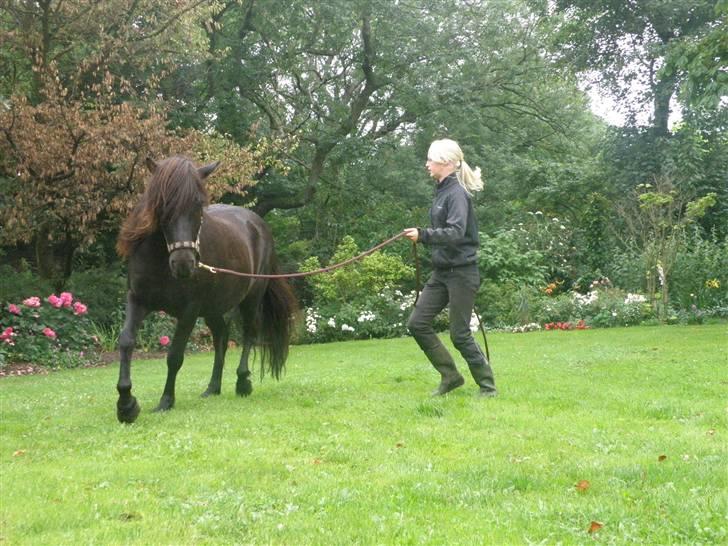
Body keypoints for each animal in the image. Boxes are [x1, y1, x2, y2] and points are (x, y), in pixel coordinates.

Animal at [114, 155, 296, 422]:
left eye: (198, 205)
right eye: (162, 204)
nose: (184, 264)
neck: (160, 259)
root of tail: (257, 223)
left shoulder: (189, 311)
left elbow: (174, 356)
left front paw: (166, 401)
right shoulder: (137, 300)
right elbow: (126, 342)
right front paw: (126, 405)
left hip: (250, 299)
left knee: (249, 333)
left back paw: (243, 382)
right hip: (213, 309)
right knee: (222, 336)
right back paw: (213, 387)